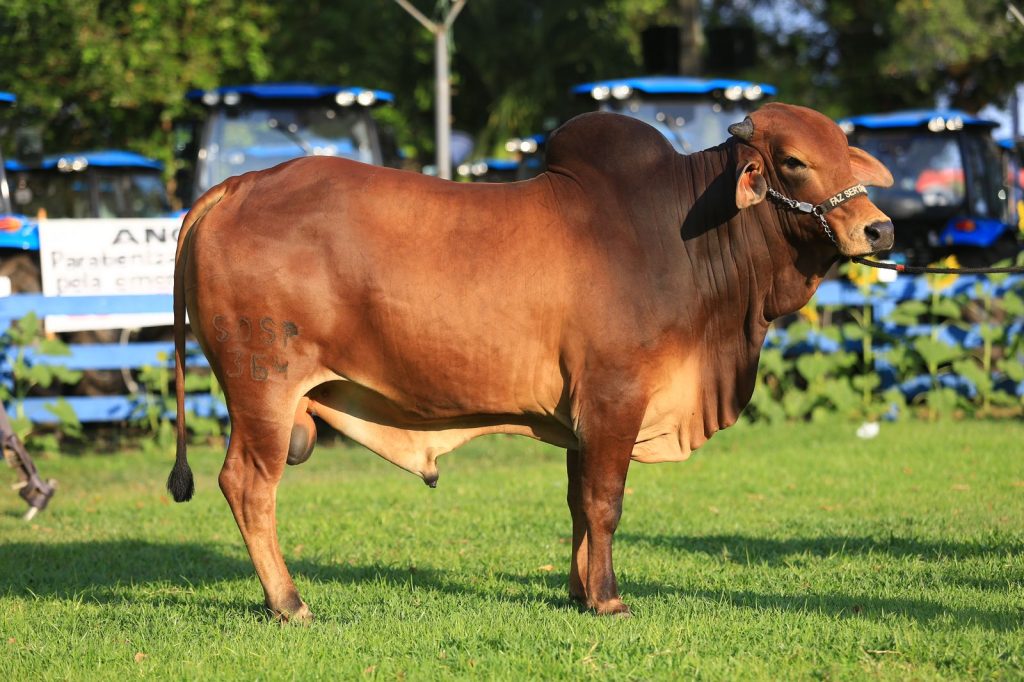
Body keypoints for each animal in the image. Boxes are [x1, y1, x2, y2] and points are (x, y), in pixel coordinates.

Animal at [165, 102, 888, 622]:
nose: (878, 229)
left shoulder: (582, 416)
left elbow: (577, 503)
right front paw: (608, 599)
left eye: (843, 154)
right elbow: (605, 501)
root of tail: (237, 185)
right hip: (263, 390)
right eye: (793, 162)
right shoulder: (616, 397)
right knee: (248, 486)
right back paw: (289, 604)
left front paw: (578, 590)